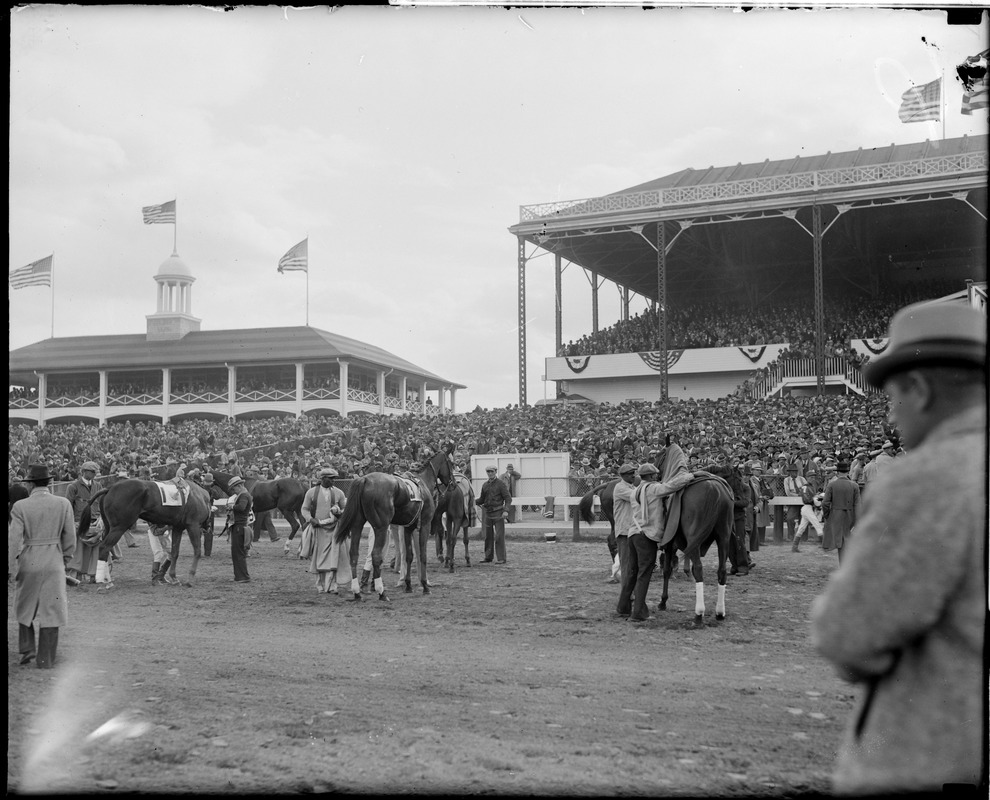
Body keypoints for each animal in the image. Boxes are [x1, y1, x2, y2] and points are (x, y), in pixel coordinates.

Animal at [78, 482, 214, 588]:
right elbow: (197, 551)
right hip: (119, 528)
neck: (198, 496)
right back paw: (106, 581)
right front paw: (190, 579)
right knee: (104, 548)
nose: (208, 528)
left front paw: (174, 578)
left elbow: (174, 552)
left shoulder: (178, 527)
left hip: (108, 527)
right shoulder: (193, 526)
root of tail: (110, 488)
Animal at [336, 450, 456, 600]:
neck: (422, 482)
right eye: (451, 463)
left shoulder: (408, 528)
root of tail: (364, 480)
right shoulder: (425, 525)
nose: (454, 484)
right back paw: (381, 592)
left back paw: (357, 592)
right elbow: (422, 555)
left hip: (357, 526)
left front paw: (408, 585)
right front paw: (425, 586)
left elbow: (409, 556)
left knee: (354, 554)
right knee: (376, 555)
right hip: (380, 528)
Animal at [576, 472, 732, 628]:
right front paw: (663, 600)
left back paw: (708, 613)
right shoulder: (672, 544)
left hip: (715, 539)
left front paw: (663, 599)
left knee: (712, 570)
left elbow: (669, 567)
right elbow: (668, 569)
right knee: (713, 570)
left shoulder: (675, 544)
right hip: (714, 538)